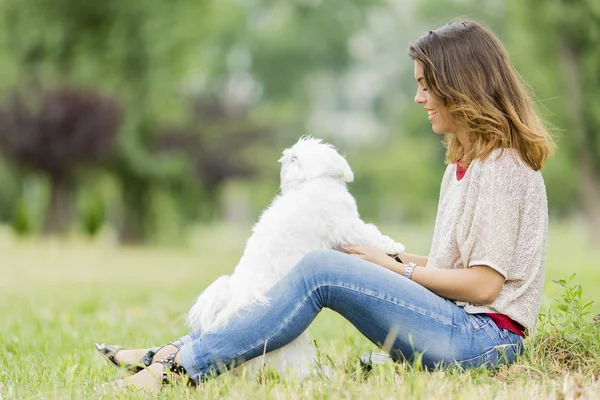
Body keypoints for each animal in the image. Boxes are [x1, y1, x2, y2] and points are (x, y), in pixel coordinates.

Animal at [185, 137, 406, 378]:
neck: (308, 183)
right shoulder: (345, 225)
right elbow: (369, 233)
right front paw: (392, 246)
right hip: (285, 339)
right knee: (291, 362)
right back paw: (318, 375)